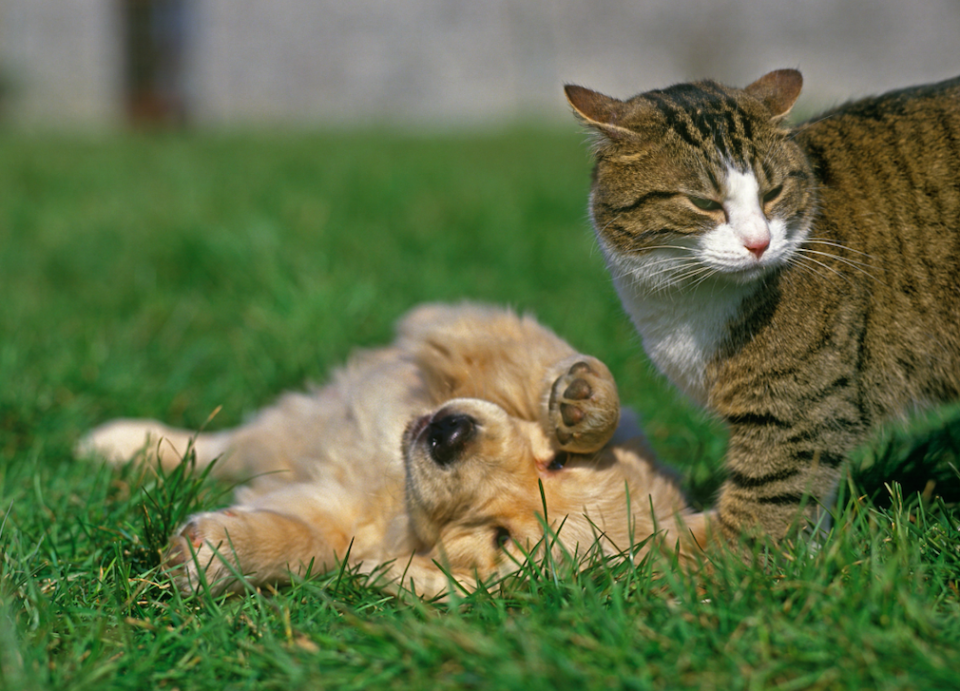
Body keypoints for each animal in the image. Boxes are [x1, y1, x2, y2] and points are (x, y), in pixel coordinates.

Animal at [82, 306, 708, 596]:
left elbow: (309, 544)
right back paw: (111, 442)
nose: (447, 434)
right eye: (555, 461)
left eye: (501, 540)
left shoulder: (349, 524)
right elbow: (535, 359)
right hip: (292, 424)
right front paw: (579, 400)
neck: (396, 486)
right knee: (216, 443)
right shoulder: (472, 328)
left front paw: (215, 551)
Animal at [568, 70, 956, 544]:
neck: (685, 299)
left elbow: (762, 506)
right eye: (703, 202)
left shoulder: (797, 407)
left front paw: (690, 556)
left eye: (773, 192)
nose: (759, 243)